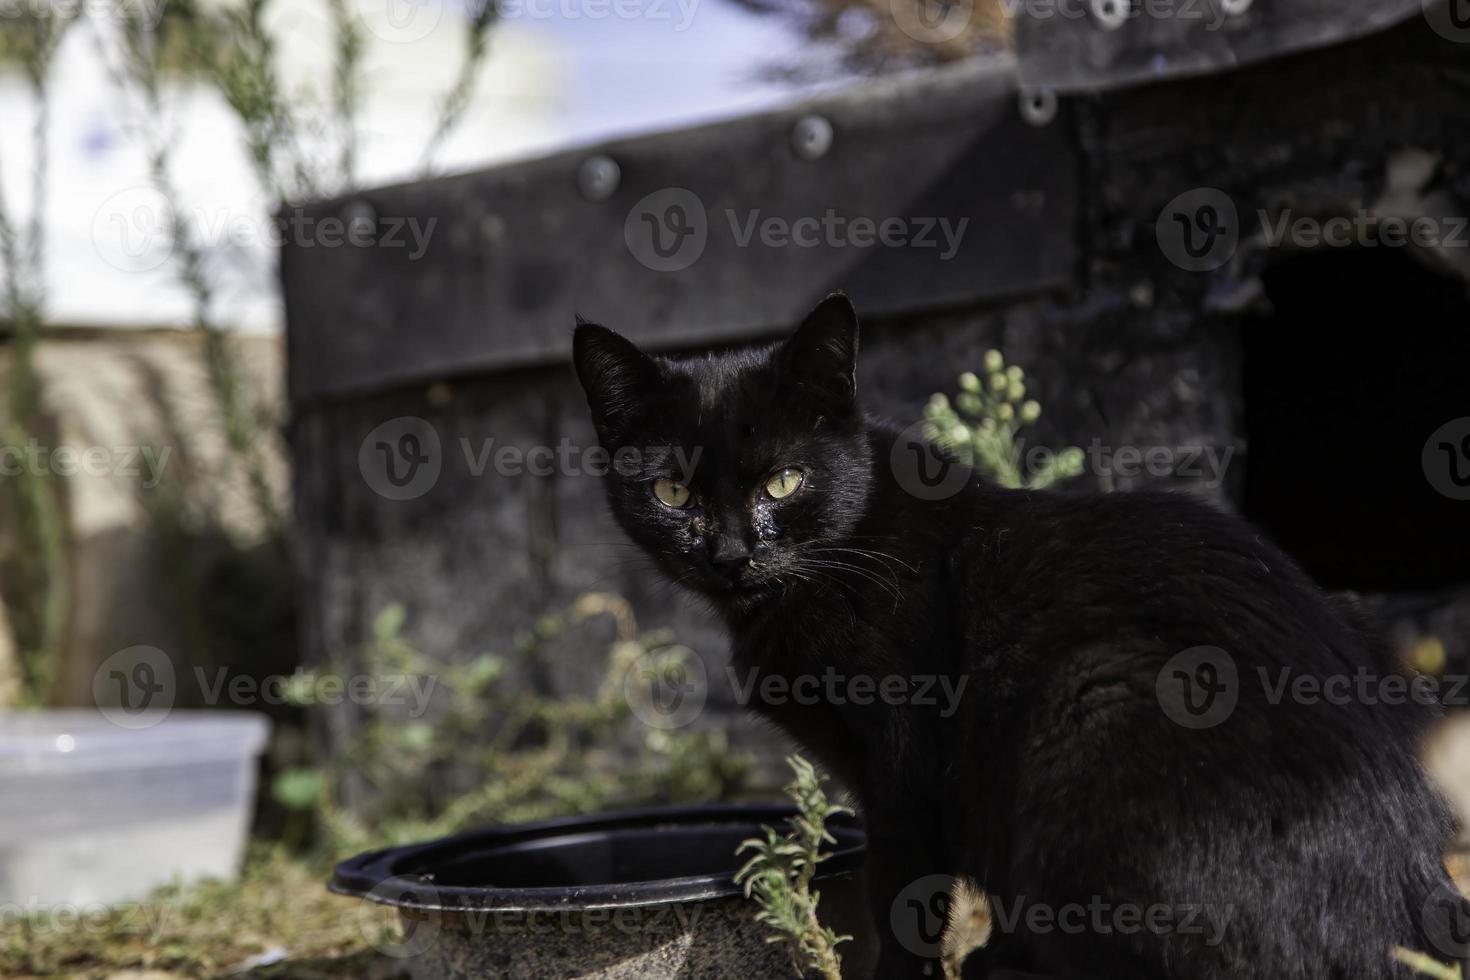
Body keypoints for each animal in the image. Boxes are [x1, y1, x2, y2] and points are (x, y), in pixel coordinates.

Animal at [567, 295, 1464, 975]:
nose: (731, 553)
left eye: (784, 481)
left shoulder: (903, 773)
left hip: (1099, 699)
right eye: (673, 492)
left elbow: (903, 903)